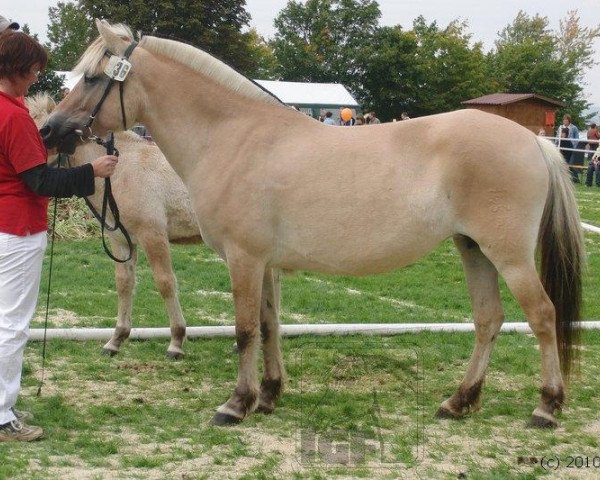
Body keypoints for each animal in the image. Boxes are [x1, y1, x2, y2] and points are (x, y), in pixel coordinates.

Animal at [28, 92, 199, 358]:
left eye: (42, 134)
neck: (123, 169)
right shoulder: (120, 239)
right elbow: (124, 283)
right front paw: (116, 340)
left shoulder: (153, 236)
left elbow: (166, 283)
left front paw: (176, 341)